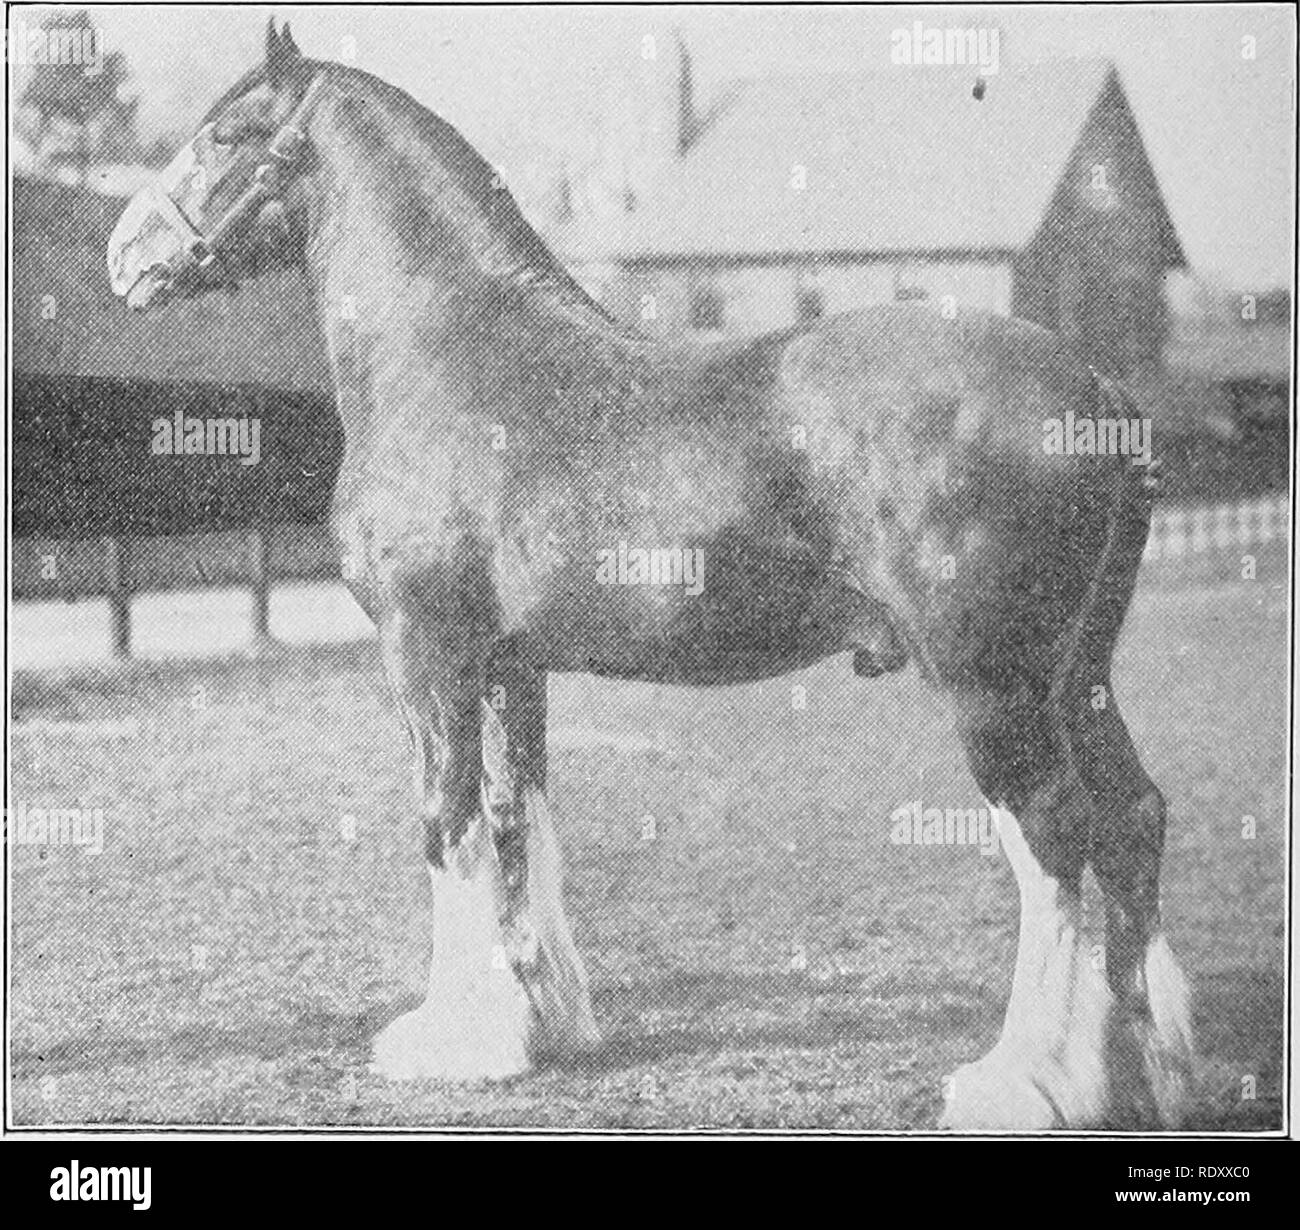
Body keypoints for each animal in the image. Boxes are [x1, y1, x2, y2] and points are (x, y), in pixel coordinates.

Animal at [106, 24, 1190, 1128]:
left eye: (227, 135)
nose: (127, 253)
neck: (451, 354)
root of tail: (1097, 389)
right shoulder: (512, 666)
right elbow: (517, 819)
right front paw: (536, 1023)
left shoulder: (426, 654)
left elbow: (447, 823)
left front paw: (450, 1041)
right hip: (1076, 680)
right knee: (1131, 818)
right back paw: (1143, 1066)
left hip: (991, 687)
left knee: (1053, 835)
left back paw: (1022, 1081)